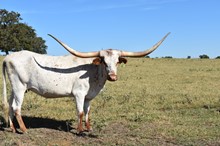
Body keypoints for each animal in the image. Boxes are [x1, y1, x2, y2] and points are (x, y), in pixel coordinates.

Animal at [2, 32, 170, 133]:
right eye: (103, 61)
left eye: (117, 61)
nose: (113, 77)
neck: (93, 72)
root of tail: (8, 57)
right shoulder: (79, 94)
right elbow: (80, 111)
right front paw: (80, 130)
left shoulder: (89, 96)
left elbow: (88, 111)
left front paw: (89, 129)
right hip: (19, 87)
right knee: (16, 107)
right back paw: (24, 130)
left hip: (14, 88)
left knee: (10, 105)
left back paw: (12, 128)